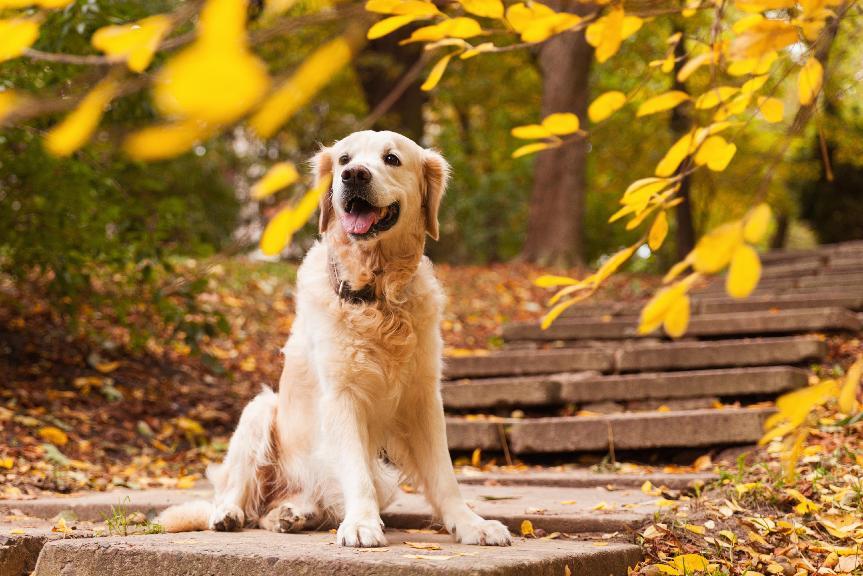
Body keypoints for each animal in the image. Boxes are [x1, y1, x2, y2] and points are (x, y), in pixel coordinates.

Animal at [159, 130, 512, 548]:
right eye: (344, 159)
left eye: (391, 158)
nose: (354, 175)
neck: (376, 294)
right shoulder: (342, 395)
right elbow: (356, 471)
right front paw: (361, 524)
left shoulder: (423, 396)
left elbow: (444, 475)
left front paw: (472, 524)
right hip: (259, 410)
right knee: (241, 495)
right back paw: (229, 514)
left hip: (381, 477)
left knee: (279, 509)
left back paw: (291, 514)